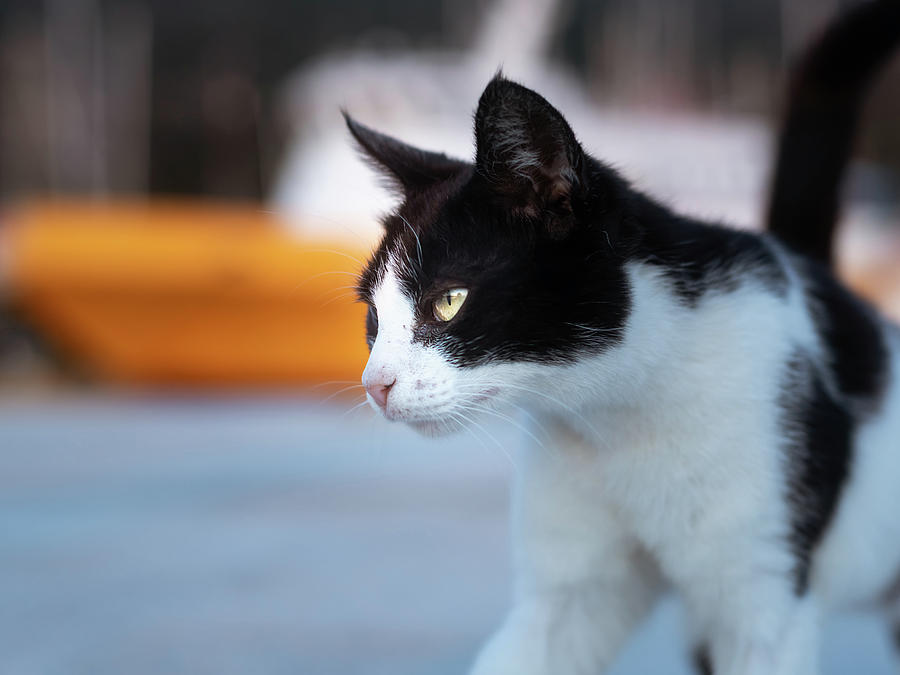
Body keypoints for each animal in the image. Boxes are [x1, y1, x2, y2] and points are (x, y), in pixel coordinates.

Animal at [346, 2, 900, 672]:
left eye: (448, 301)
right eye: (374, 320)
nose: (375, 384)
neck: (618, 419)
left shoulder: (763, 590)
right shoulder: (574, 590)